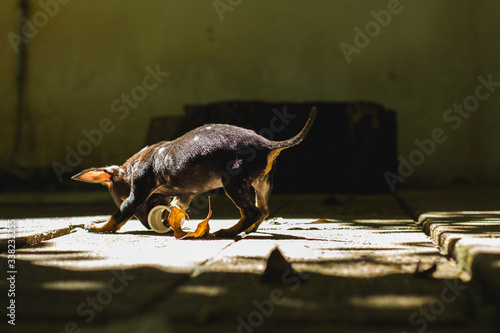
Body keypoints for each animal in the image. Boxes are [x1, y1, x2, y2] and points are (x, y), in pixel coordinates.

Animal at [73, 106, 316, 236]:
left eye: (122, 198)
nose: (149, 225)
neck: (134, 165)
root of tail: (266, 144)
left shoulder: (137, 194)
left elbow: (118, 216)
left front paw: (98, 227)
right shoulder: (184, 195)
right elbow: (175, 208)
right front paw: (170, 222)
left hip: (233, 183)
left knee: (252, 212)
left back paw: (229, 231)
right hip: (263, 184)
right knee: (263, 210)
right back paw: (246, 230)